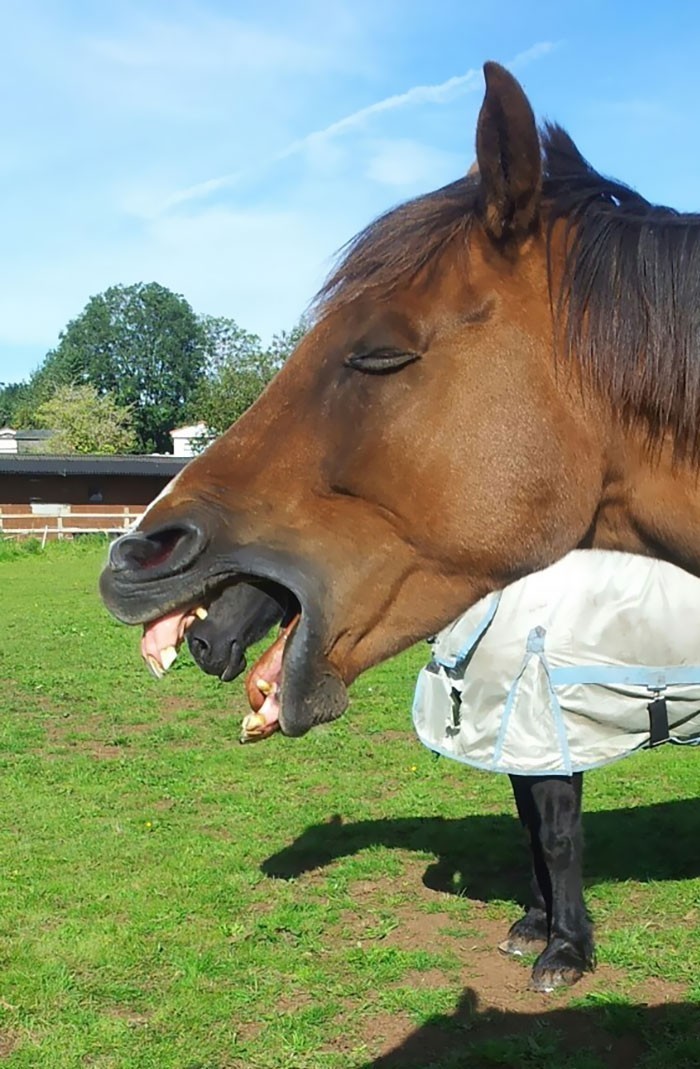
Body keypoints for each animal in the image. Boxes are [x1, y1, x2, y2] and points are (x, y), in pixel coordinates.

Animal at [101, 62, 700, 987]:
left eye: (380, 352)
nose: (137, 556)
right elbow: (531, 828)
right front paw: (536, 924)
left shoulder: (546, 735)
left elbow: (556, 831)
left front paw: (564, 948)